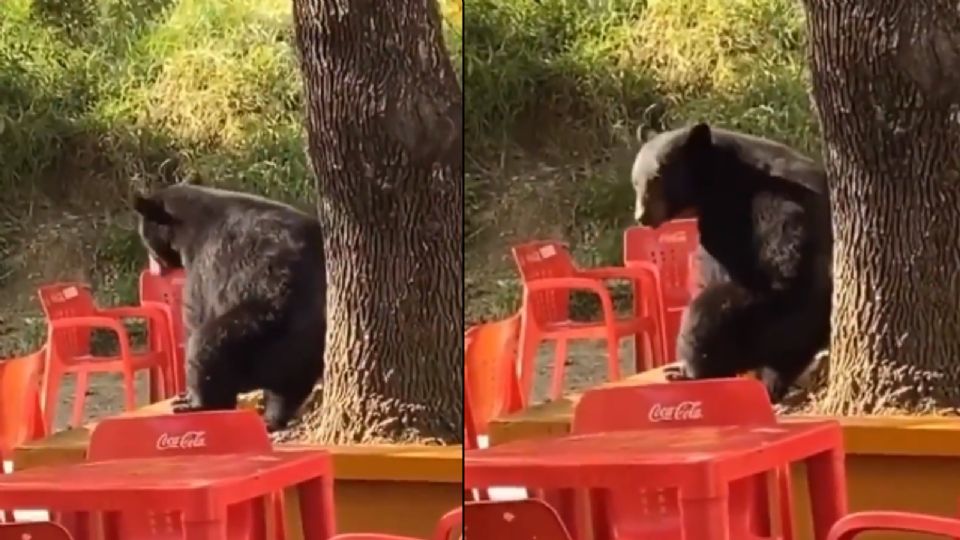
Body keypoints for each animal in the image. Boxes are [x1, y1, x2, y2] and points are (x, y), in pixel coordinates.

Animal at [131, 184, 328, 432]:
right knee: (288, 389)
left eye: (143, 234)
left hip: (255, 327)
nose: (156, 261)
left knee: (206, 346)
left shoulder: (205, 267)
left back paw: (196, 404)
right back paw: (272, 418)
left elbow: (195, 314)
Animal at [632, 122, 832, 400]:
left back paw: (692, 371)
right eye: (635, 182)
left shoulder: (744, 205)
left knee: (705, 318)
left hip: (766, 316)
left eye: (656, 179)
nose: (641, 216)